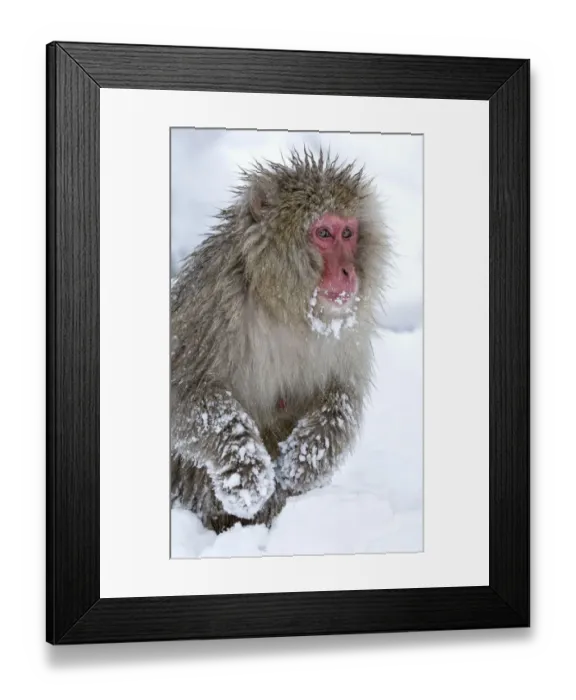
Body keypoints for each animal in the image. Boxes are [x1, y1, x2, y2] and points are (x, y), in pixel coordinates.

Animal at [170, 147, 391, 535]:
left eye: (348, 233)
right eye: (323, 233)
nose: (349, 272)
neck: (283, 306)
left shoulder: (348, 329)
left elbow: (341, 394)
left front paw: (307, 457)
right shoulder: (213, 305)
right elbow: (185, 394)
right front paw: (245, 470)